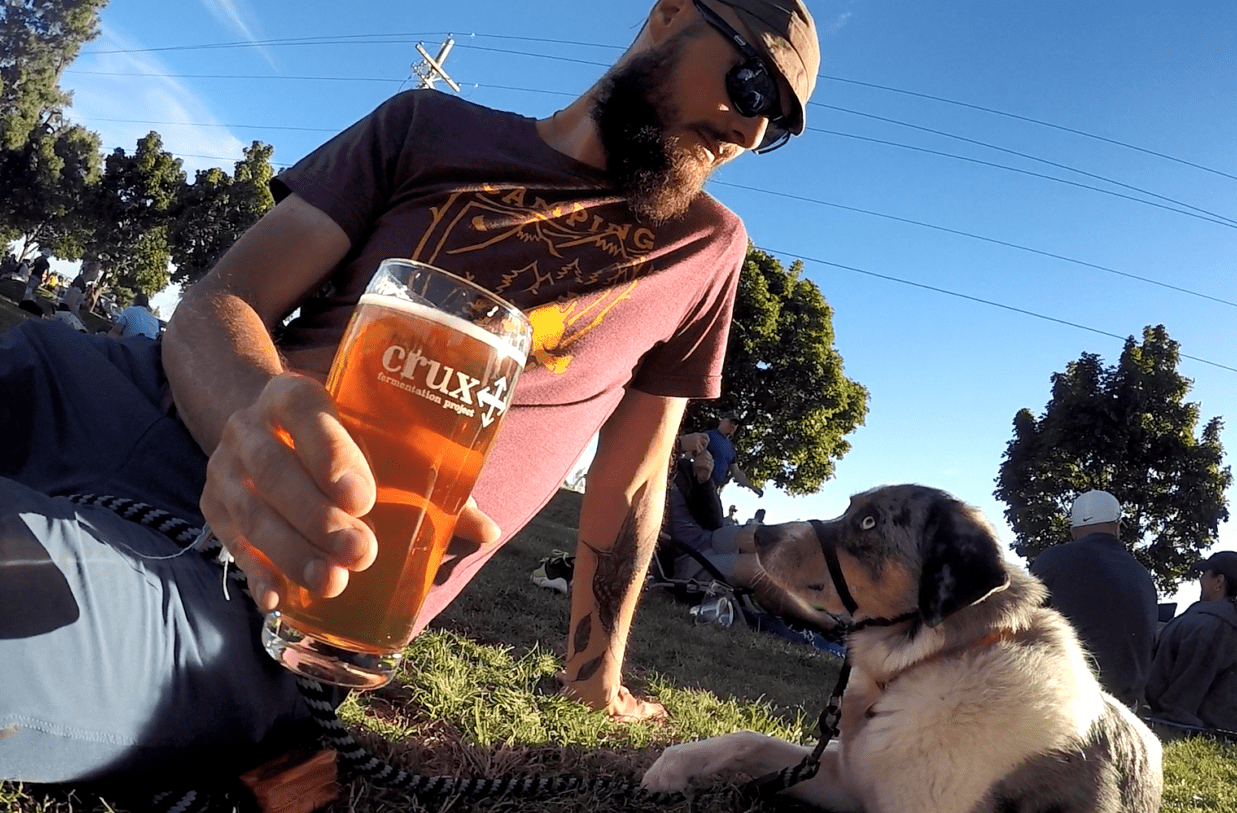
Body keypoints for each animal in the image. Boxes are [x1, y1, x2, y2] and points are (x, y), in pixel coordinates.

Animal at [643, 485, 1162, 806]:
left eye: (870, 522)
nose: (759, 531)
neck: (925, 662)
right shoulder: (845, 778)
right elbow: (749, 739)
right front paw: (672, 767)